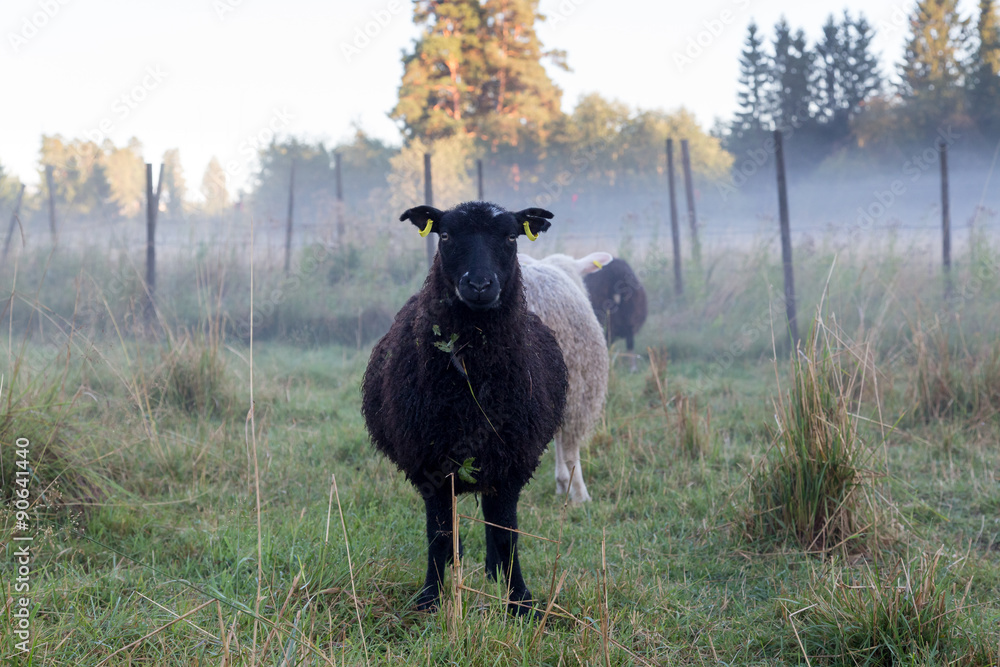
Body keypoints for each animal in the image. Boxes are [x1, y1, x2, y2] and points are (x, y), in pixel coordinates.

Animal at [361, 201, 568, 616]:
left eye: (511, 236)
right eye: (445, 235)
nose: (479, 285)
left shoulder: (509, 464)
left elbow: (507, 535)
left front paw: (520, 602)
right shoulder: (431, 466)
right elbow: (439, 534)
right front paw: (430, 599)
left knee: (494, 524)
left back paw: (492, 573)